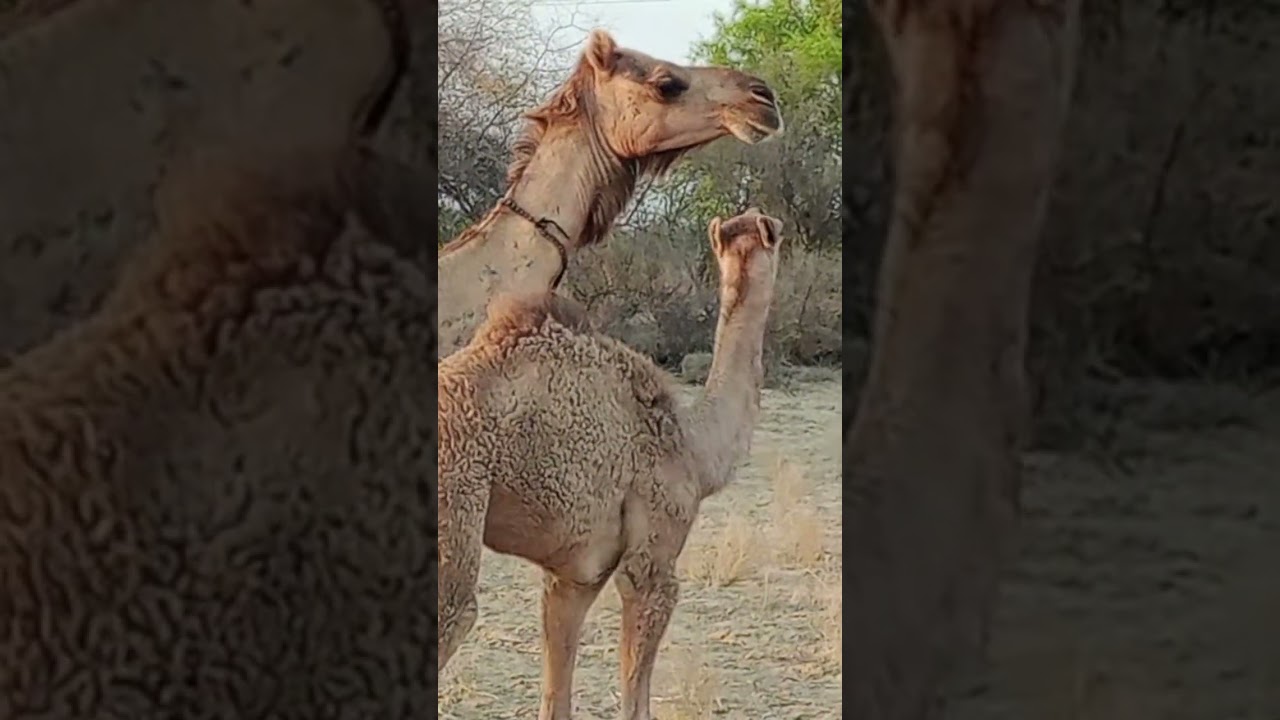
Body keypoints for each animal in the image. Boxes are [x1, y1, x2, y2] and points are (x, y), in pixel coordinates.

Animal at [438, 209, 786, 720]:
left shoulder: (574, 577)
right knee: (456, 609)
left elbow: (556, 694)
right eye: (775, 233)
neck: (696, 447)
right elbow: (635, 697)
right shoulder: (652, 560)